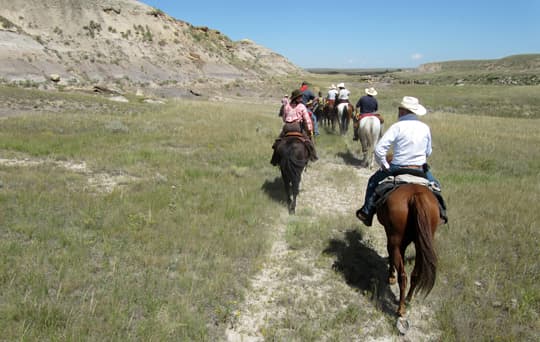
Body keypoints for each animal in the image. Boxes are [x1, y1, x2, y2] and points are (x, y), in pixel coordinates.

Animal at [376, 183, 438, 316]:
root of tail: (416, 196)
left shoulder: (392, 238)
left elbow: (390, 254)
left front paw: (391, 277)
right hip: (420, 245)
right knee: (415, 275)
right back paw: (408, 299)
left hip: (395, 241)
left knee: (403, 276)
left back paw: (400, 309)